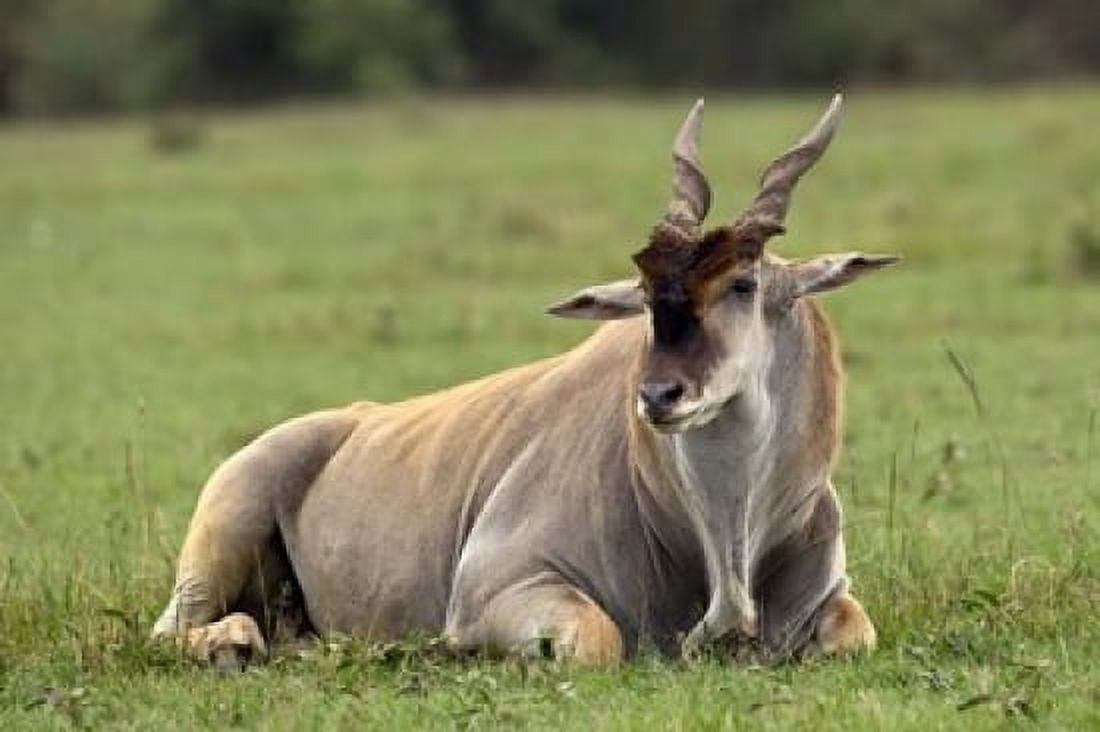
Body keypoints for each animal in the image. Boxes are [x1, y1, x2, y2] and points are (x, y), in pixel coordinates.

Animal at [152, 95, 897, 666]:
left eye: (743, 284)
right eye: (647, 297)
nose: (660, 396)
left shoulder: (833, 604)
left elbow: (853, 632)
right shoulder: (498, 589)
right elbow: (597, 640)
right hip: (221, 537)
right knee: (174, 631)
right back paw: (236, 642)